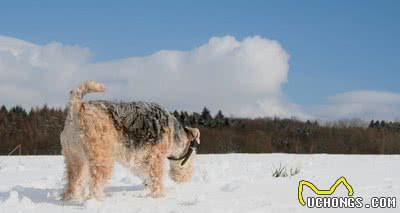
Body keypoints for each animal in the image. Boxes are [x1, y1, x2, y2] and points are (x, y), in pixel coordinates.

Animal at [59, 80, 200, 201]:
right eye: (192, 156)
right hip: (101, 158)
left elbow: (146, 175)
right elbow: (156, 178)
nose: (186, 178)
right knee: (95, 183)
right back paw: (97, 200)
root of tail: (76, 108)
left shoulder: (141, 159)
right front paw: (159, 195)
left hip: (74, 158)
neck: (173, 133)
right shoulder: (156, 157)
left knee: (73, 181)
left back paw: (70, 198)